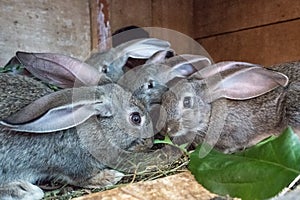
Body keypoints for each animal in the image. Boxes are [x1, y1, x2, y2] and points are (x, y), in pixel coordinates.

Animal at [0, 74, 159, 200]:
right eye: (136, 118)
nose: (149, 143)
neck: (101, 128)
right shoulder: (73, 164)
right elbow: (82, 178)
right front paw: (110, 177)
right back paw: (25, 191)